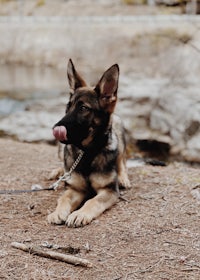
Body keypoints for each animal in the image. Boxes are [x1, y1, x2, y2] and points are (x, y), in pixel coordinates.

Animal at [47, 59, 130, 228]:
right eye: (68, 106)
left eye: (83, 108)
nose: (54, 128)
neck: (87, 153)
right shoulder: (75, 189)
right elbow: (64, 198)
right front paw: (57, 212)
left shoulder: (108, 191)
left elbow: (92, 201)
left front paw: (80, 214)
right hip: (60, 148)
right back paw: (59, 172)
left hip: (119, 131)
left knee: (122, 160)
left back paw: (123, 177)